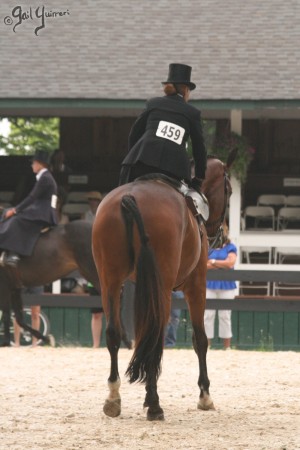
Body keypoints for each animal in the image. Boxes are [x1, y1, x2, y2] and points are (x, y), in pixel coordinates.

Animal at [92, 152, 236, 422]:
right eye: (229, 190)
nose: (221, 236)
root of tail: (131, 197)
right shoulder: (197, 284)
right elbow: (200, 339)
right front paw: (205, 396)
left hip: (110, 282)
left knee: (114, 333)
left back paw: (113, 398)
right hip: (162, 287)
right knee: (155, 335)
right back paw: (154, 404)